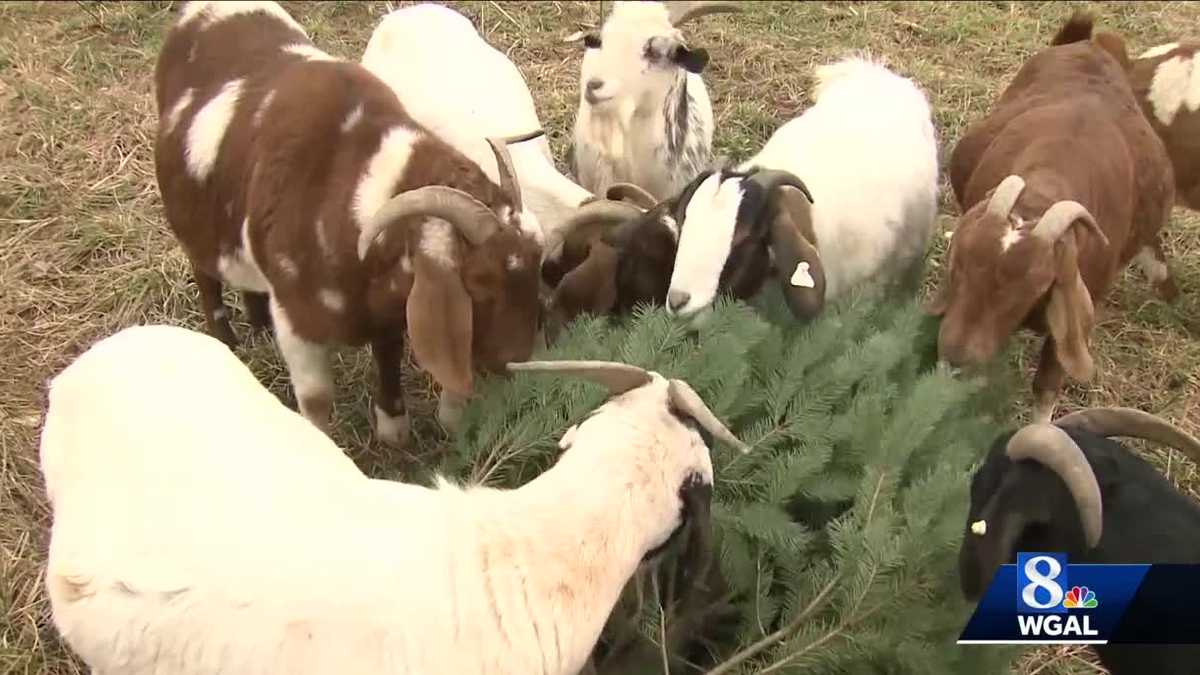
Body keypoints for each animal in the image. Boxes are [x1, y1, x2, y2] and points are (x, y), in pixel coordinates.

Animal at [154, 1, 543, 445]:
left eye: (539, 260)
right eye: (479, 282)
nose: (516, 363)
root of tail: (205, 11)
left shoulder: (386, 312)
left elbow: (388, 358)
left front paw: (392, 427)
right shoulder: (297, 320)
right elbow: (317, 400)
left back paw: (258, 324)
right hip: (194, 223)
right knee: (205, 275)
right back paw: (228, 343)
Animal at [930, 13, 1177, 422]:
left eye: (1034, 287)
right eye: (959, 267)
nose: (956, 353)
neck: (1039, 196)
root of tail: (1090, 42)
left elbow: (1047, 384)